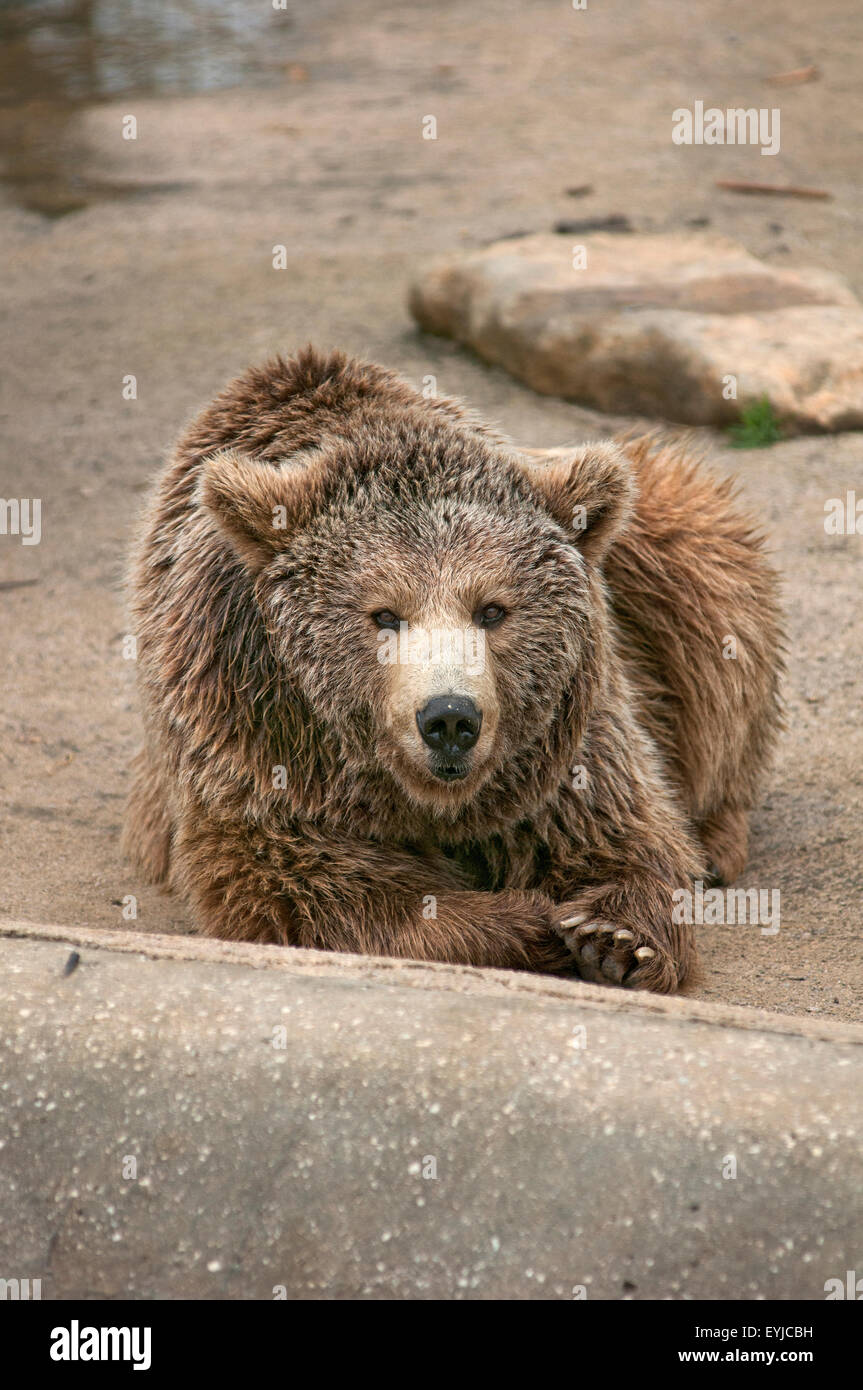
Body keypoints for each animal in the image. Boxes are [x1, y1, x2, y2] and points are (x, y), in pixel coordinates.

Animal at [120, 353, 778, 995]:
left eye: (492, 609)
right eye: (384, 614)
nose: (451, 719)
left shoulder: (568, 741)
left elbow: (626, 834)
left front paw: (614, 937)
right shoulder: (252, 740)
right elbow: (303, 885)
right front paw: (525, 919)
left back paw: (716, 840)